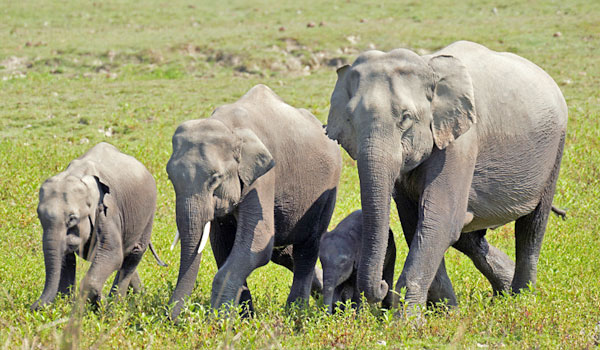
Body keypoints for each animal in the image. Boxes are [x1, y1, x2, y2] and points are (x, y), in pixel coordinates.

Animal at [31, 141, 165, 310]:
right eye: (39, 216)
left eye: (72, 218)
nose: (34, 307)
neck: (79, 175)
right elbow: (67, 258)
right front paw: (68, 304)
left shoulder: (109, 210)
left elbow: (112, 254)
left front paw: (100, 303)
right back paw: (137, 296)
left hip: (148, 215)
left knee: (133, 254)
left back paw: (116, 306)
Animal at [166, 85, 342, 320]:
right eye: (170, 178)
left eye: (215, 178)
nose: (172, 319)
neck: (229, 126)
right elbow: (222, 245)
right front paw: (244, 318)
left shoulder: (264, 176)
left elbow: (256, 242)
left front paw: (219, 321)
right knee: (285, 253)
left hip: (328, 189)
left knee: (307, 247)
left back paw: (296, 314)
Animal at [328, 41, 568, 308]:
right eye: (350, 119)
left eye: (406, 118)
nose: (382, 286)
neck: (427, 66)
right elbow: (415, 221)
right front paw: (446, 310)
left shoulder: (461, 142)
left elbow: (439, 221)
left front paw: (410, 317)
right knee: (469, 233)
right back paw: (504, 290)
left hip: (555, 148)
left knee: (532, 226)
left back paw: (520, 299)